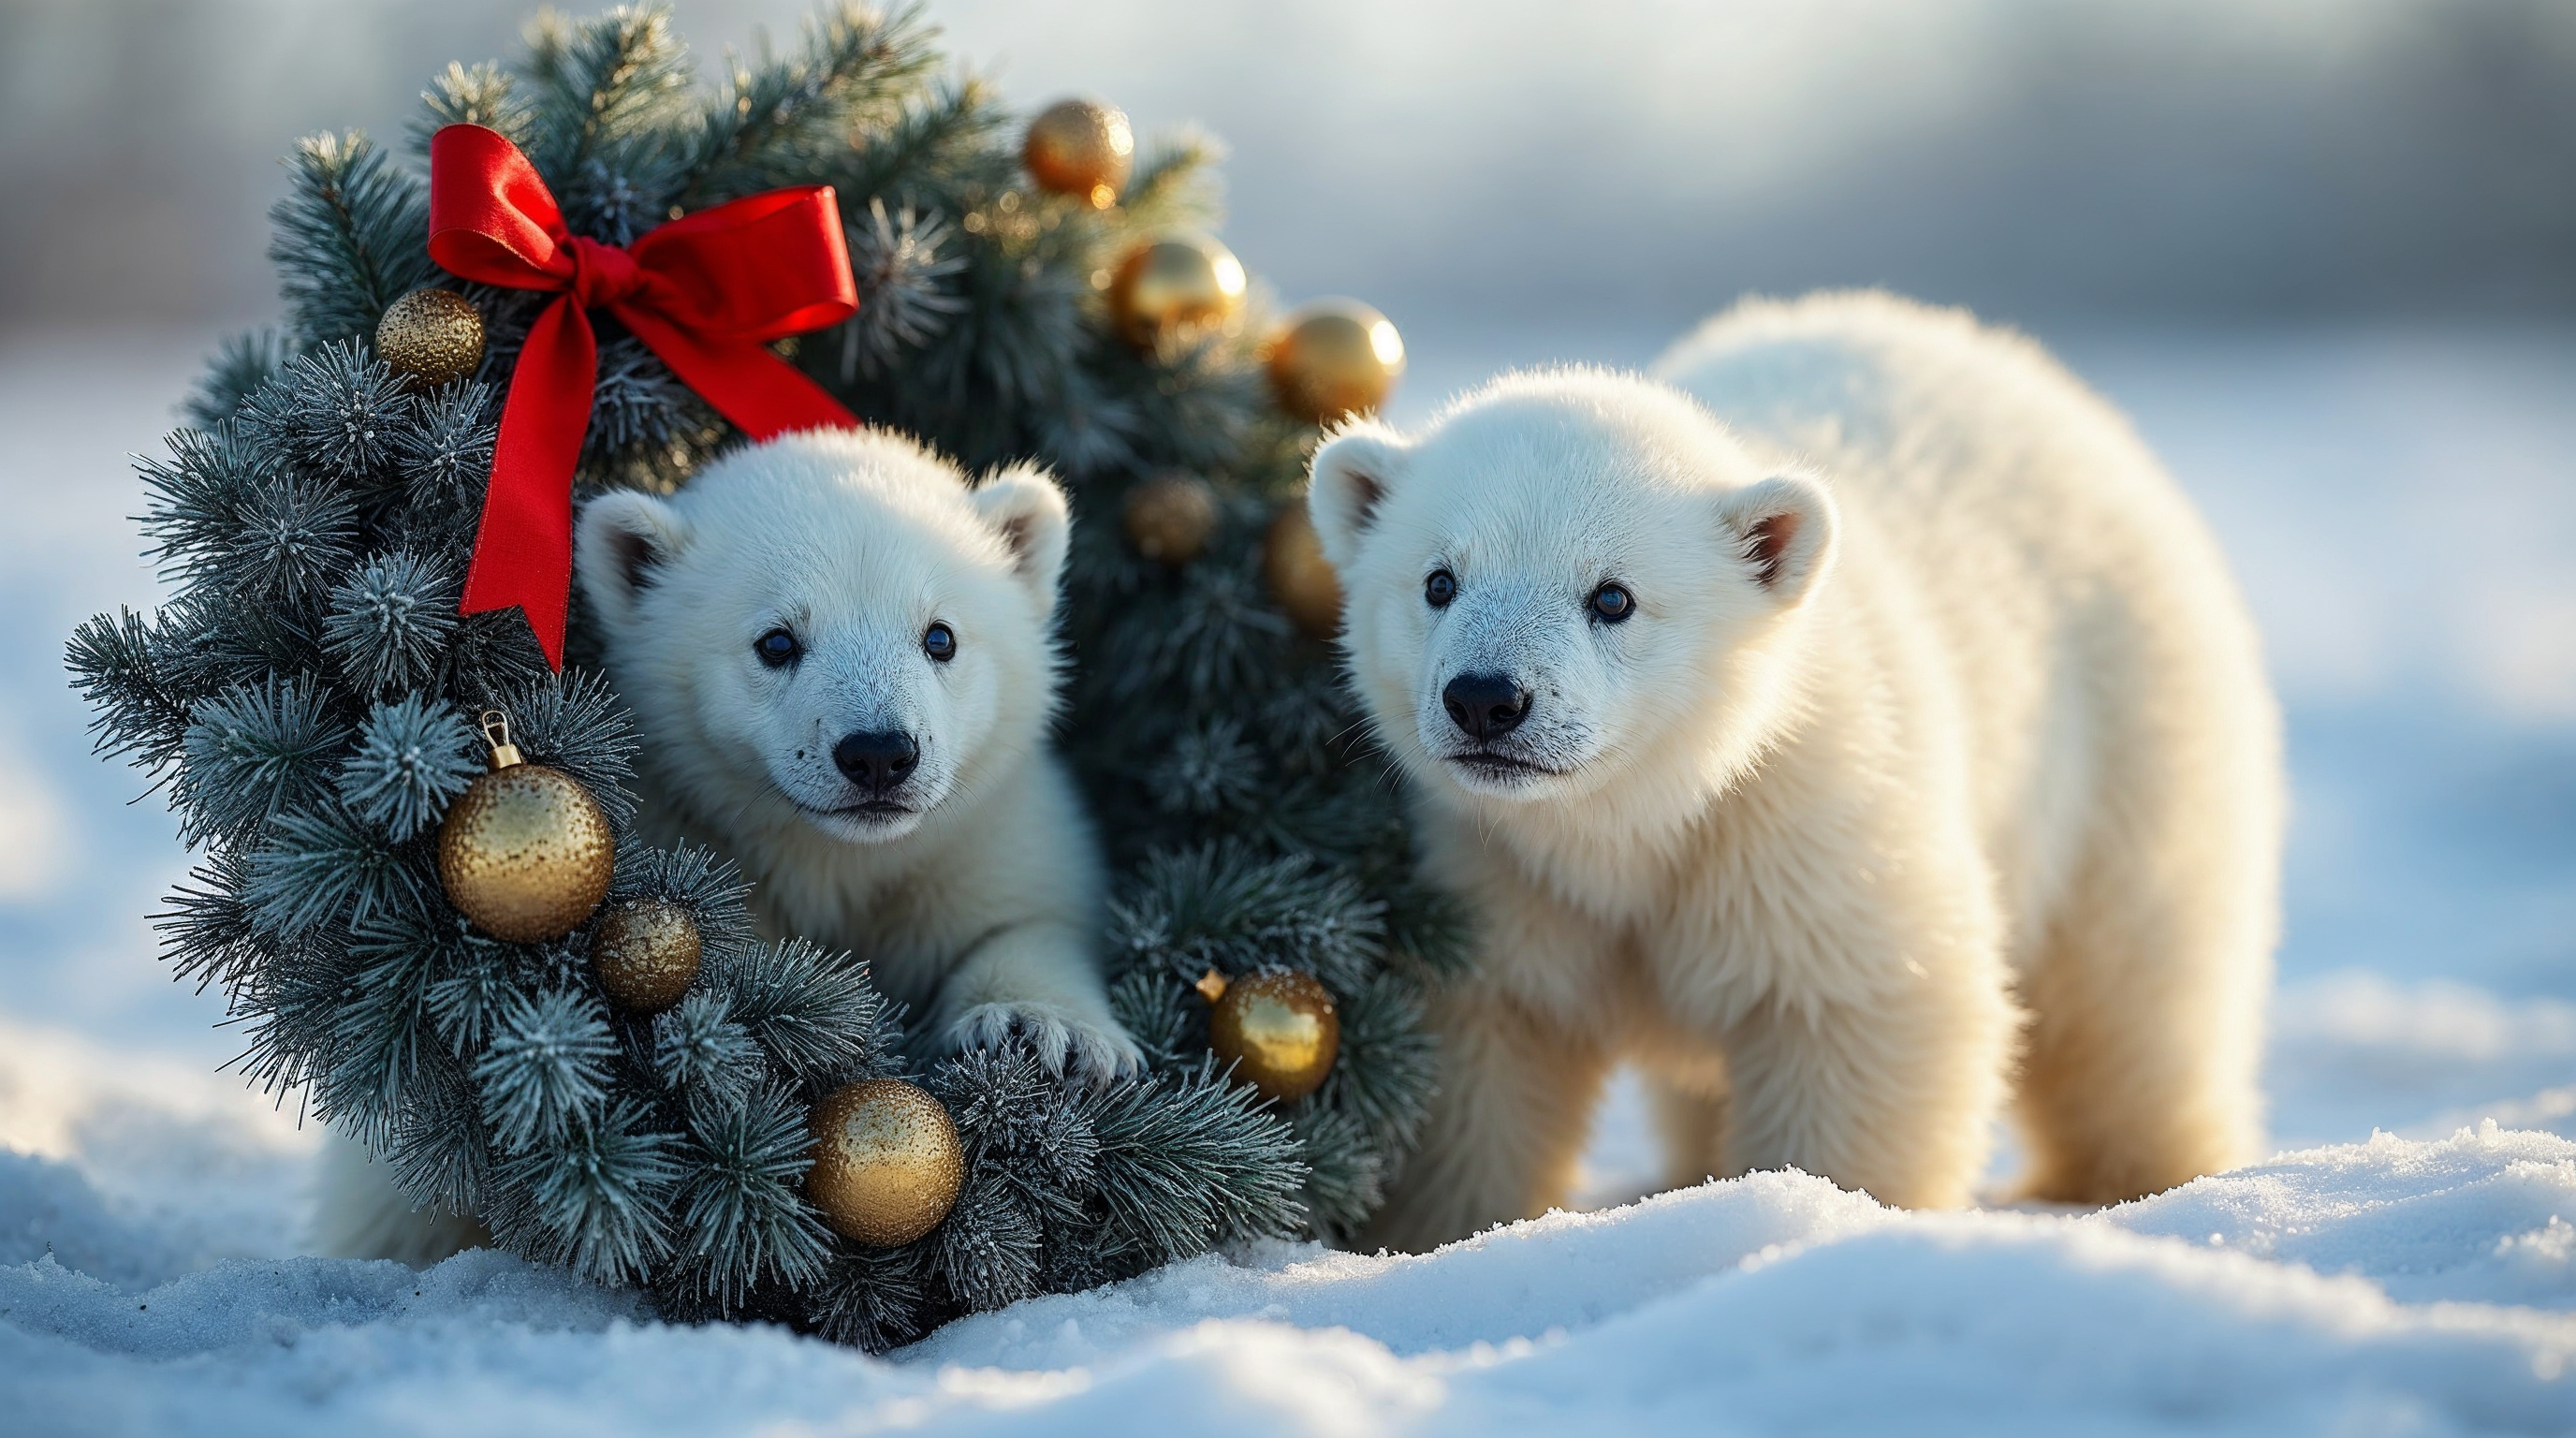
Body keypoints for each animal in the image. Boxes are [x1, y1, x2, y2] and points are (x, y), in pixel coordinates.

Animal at [318, 427, 1132, 1263]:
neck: (831, 856)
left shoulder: (986, 828)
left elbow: (1024, 916)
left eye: (941, 635)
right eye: (777, 641)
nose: (878, 753)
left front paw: (1044, 1033)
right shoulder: (675, 822)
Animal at [1305, 291, 2281, 1251]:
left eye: (1612, 596)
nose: (1486, 699)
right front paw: (1442, 1236)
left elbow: (1862, 1010)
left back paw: (2139, 1176)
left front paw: (1814, 1219)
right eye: (1438, 581)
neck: (1640, 818)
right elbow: (1481, 1053)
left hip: (2130, 722)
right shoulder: (1489, 878)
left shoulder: (1812, 825)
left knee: (2131, 985)